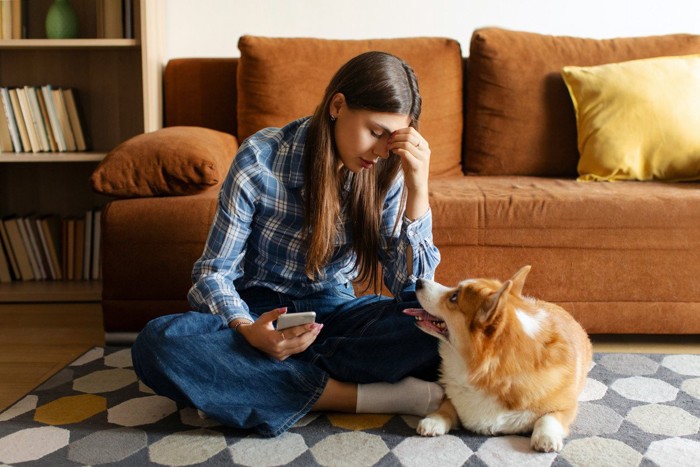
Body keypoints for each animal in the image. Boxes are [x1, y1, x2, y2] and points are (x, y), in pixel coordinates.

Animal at [404, 266, 592, 454]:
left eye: (454, 296)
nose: (418, 281)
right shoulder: (452, 392)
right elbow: (447, 404)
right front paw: (433, 421)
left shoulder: (567, 406)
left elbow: (549, 417)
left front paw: (546, 438)